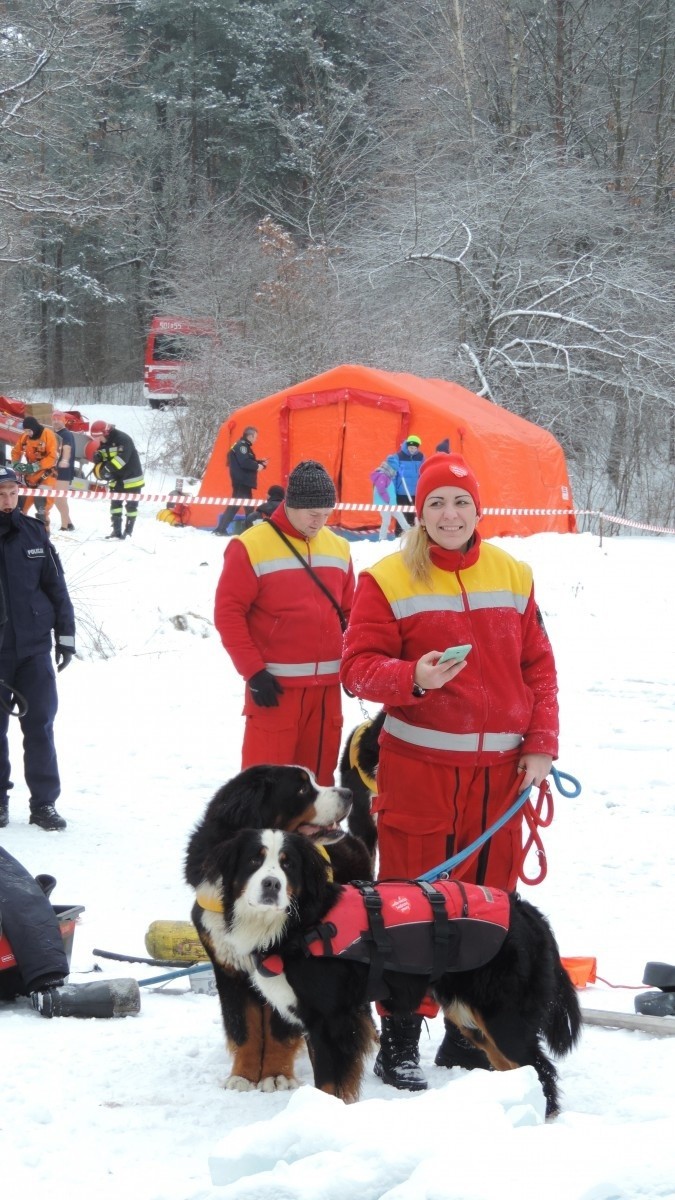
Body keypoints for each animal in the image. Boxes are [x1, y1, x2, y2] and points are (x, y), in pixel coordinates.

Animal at [207, 825, 581, 1113]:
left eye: (288, 864)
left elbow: (330, 1082)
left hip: (503, 1016)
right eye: (254, 859)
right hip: (470, 1016)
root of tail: (528, 913)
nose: (271, 884)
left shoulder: (332, 1019)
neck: (302, 922)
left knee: (540, 1069)